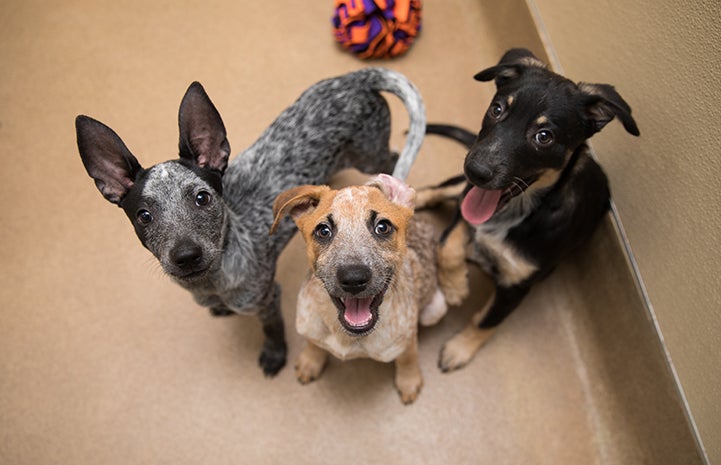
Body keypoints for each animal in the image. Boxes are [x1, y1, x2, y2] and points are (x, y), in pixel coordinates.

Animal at [272, 174, 466, 402]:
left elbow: (408, 357)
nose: (353, 278)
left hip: (435, 310)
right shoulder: (309, 326)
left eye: (382, 227)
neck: (347, 335)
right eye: (323, 231)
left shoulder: (407, 339)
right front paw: (310, 361)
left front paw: (408, 381)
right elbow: (314, 343)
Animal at [416, 49, 640, 372]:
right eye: (497, 109)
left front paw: (460, 349)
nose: (476, 171)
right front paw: (455, 285)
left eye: (544, 136)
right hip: (458, 187)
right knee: (436, 190)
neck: (516, 212)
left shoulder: (516, 285)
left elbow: (487, 320)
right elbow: (447, 244)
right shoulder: (467, 206)